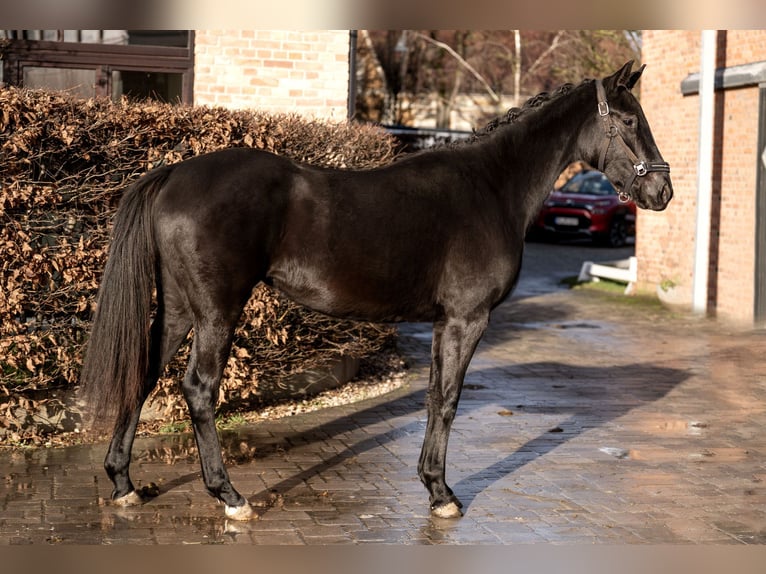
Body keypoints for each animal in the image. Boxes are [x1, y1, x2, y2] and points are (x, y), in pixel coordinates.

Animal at [81, 62, 676, 520]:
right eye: (629, 120)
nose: (662, 190)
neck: (490, 187)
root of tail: (174, 173)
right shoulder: (468, 318)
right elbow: (449, 399)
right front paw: (443, 495)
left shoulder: (444, 321)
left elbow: (435, 395)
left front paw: (432, 484)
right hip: (216, 312)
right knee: (199, 391)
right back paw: (230, 497)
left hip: (181, 307)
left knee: (143, 373)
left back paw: (123, 484)